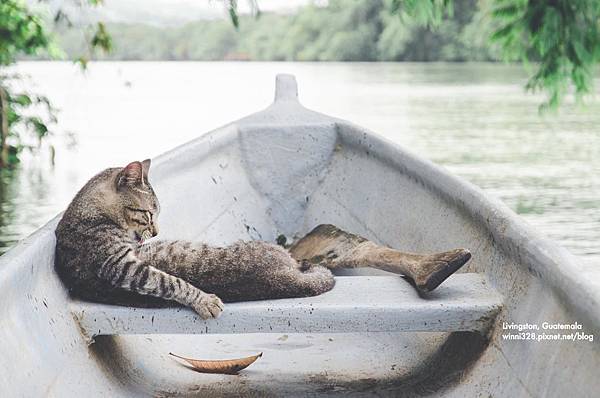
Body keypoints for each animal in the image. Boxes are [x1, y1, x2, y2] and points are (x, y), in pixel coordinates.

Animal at [54, 160, 472, 318]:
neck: (84, 216)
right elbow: (170, 281)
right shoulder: (120, 266)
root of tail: (280, 278)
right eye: (149, 212)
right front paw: (204, 300)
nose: (155, 233)